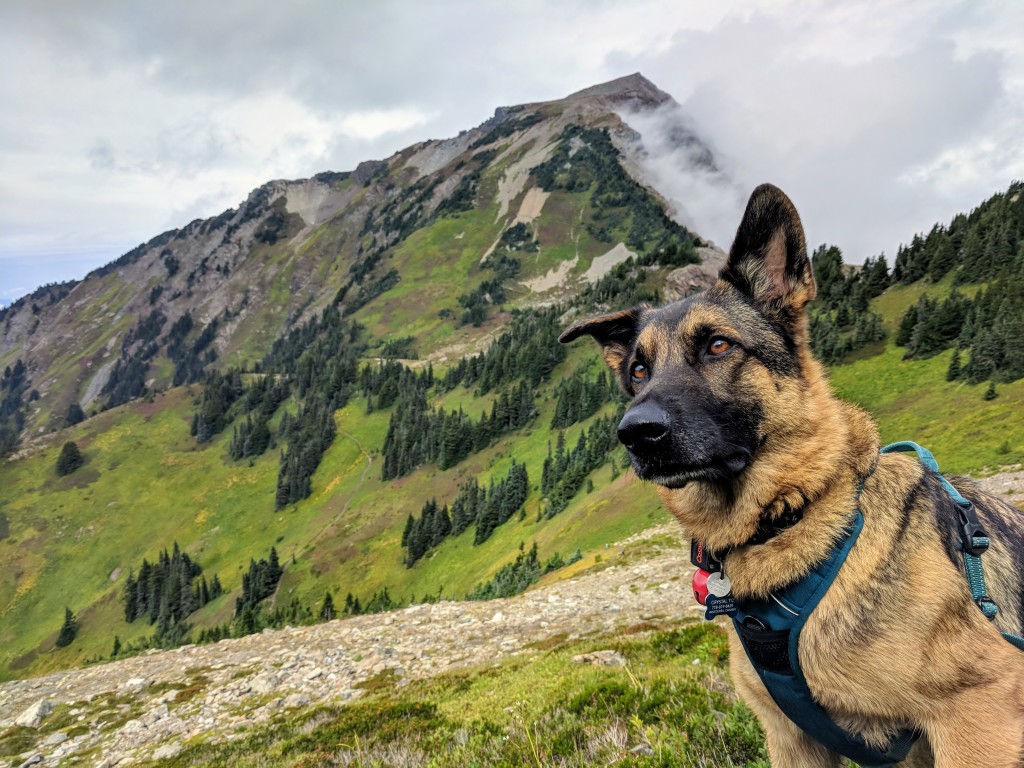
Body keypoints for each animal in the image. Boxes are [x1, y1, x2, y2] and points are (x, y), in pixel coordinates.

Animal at [561, 183, 1024, 765]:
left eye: (718, 345)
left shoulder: (978, 715)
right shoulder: (791, 738)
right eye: (638, 372)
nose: (635, 433)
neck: (793, 516)